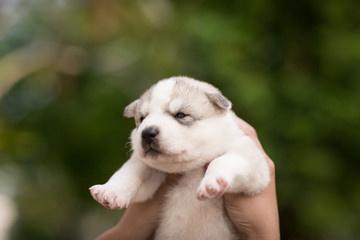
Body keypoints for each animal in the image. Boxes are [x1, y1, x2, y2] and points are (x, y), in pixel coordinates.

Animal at [90, 77, 270, 240]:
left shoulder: (249, 157)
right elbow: (130, 172)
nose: (147, 133)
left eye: (180, 115)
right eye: (142, 118)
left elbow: (222, 161)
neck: (189, 169)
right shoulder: (148, 174)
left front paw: (213, 182)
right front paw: (110, 191)